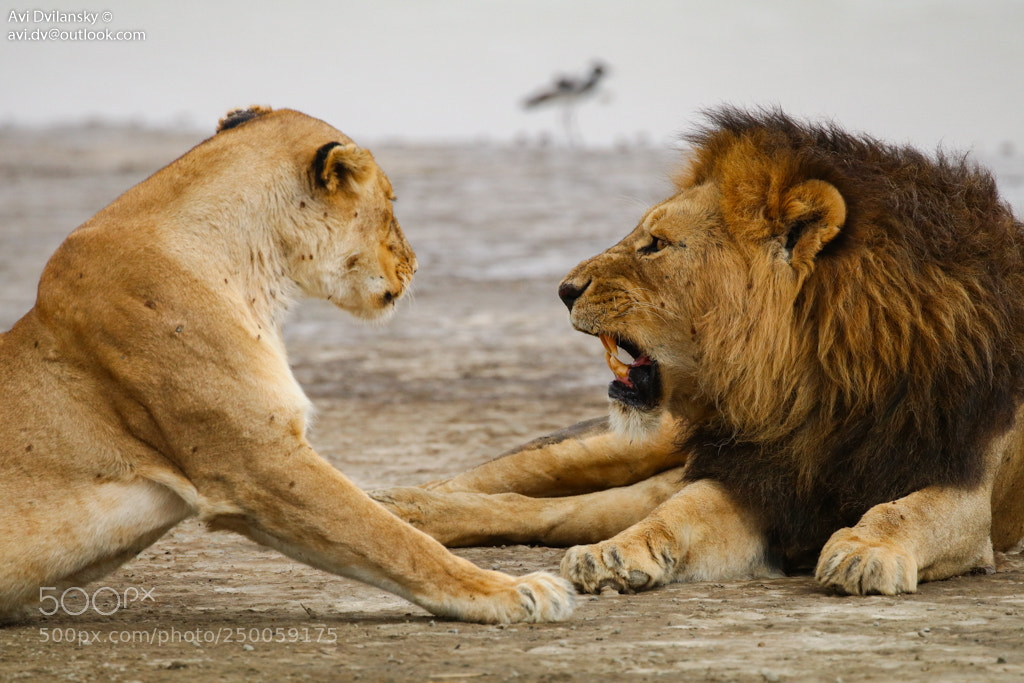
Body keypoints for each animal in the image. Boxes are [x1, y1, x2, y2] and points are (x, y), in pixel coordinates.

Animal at [0, 106, 573, 624]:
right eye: (389, 202)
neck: (254, 275)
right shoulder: (256, 462)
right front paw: (517, 590)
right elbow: (391, 536)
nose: (415, 264)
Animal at [373, 107, 1024, 596]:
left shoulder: (964, 488)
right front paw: (615, 556)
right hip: (628, 443)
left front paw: (864, 551)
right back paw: (396, 505)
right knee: (515, 484)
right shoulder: (758, 474)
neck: (823, 383)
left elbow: (904, 510)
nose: (563, 290)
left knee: (563, 511)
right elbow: (680, 513)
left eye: (656, 244)